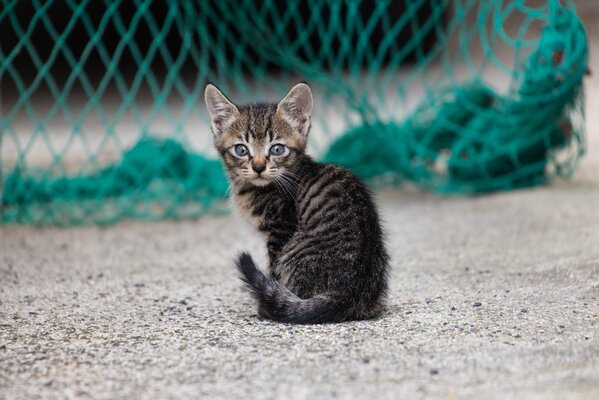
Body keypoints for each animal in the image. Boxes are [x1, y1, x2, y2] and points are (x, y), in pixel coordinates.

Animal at [206, 83, 392, 324]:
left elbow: (273, 269)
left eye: (277, 149)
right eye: (241, 149)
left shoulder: (280, 229)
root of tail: (348, 291)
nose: (258, 167)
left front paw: (267, 303)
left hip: (294, 250)